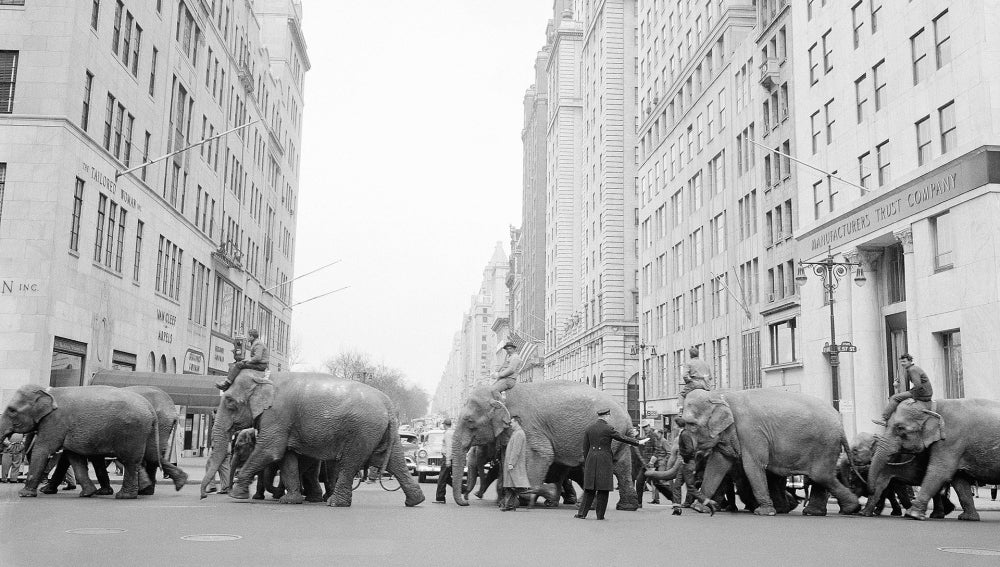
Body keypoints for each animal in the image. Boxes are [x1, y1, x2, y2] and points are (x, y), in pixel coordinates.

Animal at [0, 384, 180, 500]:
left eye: (12, 410)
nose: (9, 443)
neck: (49, 391)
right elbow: (74, 455)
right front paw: (90, 493)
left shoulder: (56, 421)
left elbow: (44, 450)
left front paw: (26, 494)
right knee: (150, 455)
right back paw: (172, 484)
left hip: (135, 430)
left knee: (133, 460)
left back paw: (128, 495)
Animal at [201, 370, 424, 508]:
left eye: (230, 402)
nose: (204, 495)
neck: (265, 377)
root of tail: (388, 404)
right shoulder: (284, 421)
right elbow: (286, 457)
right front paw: (289, 501)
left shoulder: (278, 415)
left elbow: (270, 450)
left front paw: (236, 496)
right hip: (381, 433)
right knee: (394, 462)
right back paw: (415, 501)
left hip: (362, 431)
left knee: (350, 462)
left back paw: (335, 503)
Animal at [448, 382, 636, 510]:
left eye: (469, 421)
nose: (466, 501)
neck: (500, 393)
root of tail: (627, 417)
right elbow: (507, 459)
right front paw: (506, 501)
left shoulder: (529, 426)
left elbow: (542, 454)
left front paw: (525, 497)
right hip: (619, 439)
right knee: (621, 467)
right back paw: (625, 507)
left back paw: (579, 504)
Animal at [680, 388, 860, 516]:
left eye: (692, 424)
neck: (721, 395)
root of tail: (841, 424)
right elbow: (717, 464)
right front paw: (699, 509)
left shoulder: (750, 431)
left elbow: (753, 465)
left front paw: (765, 512)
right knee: (821, 477)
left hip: (824, 444)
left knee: (821, 476)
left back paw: (850, 508)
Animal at [864, 398, 996, 520]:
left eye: (900, 428)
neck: (932, 406)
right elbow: (958, 479)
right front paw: (967, 518)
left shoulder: (950, 439)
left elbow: (940, 471)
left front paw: (912, 514)